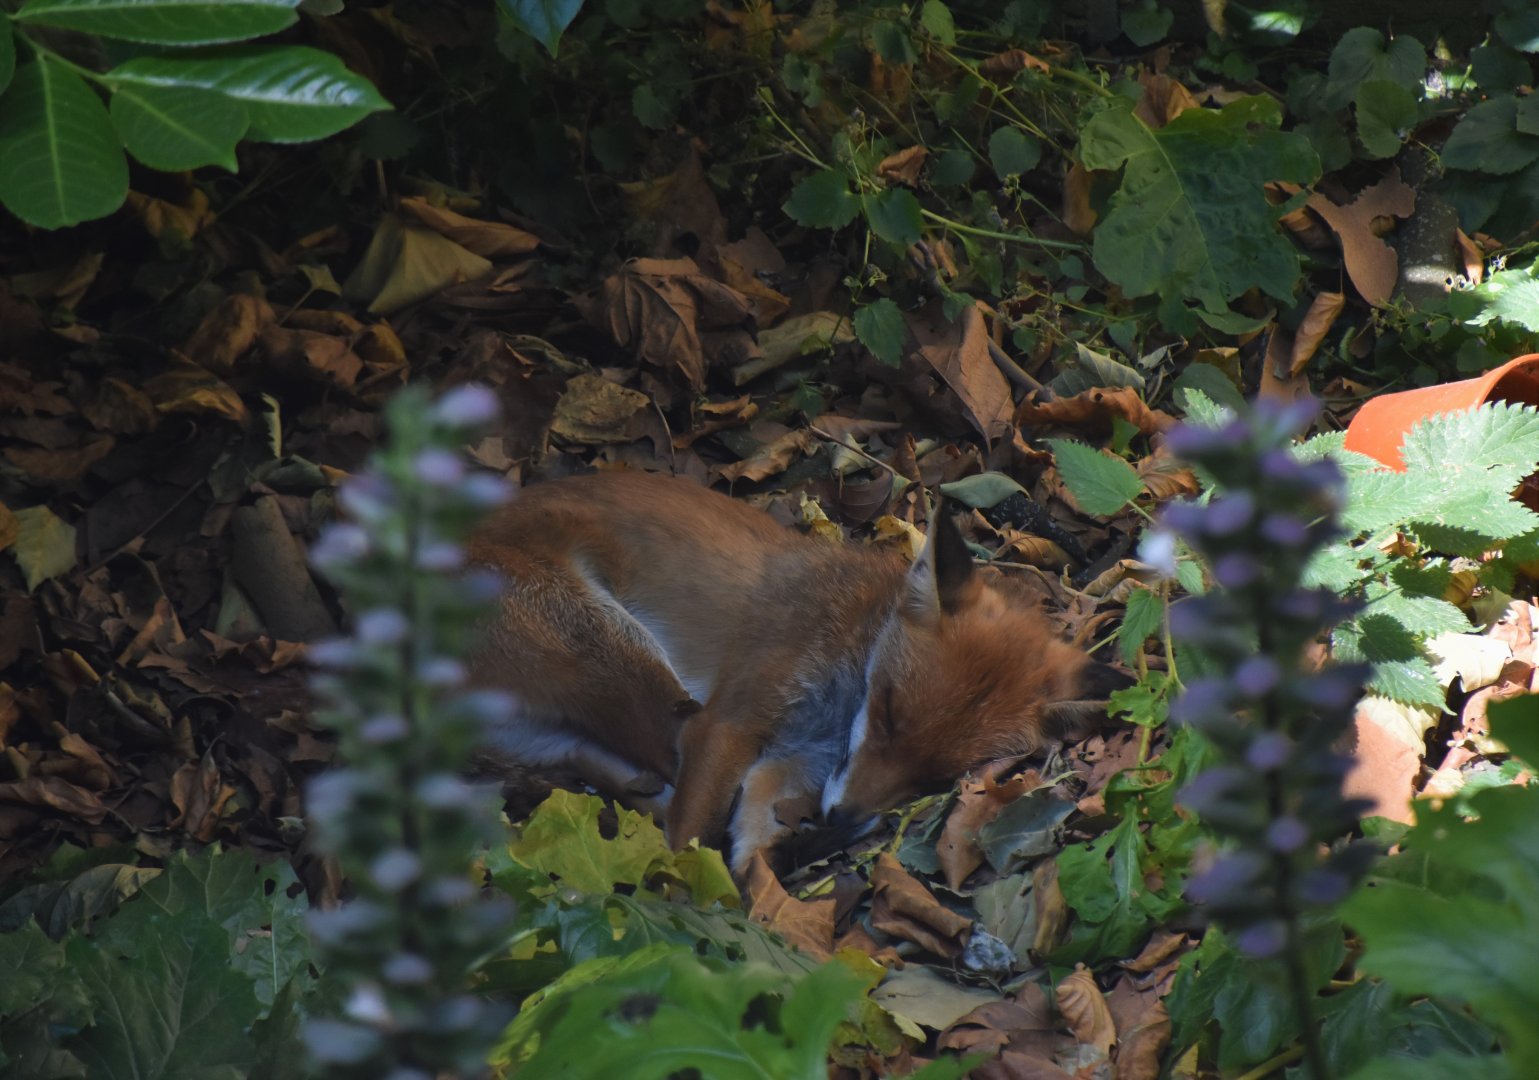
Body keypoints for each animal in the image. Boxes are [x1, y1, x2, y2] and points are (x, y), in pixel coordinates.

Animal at [466, 470, 1126, 873]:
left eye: (936, 776)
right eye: (888, 714)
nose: (842, 819)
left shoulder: (790, 764)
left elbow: (747, 843)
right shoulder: (726, 725)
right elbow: (691, 844)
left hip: (556, 736)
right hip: (630, 668)